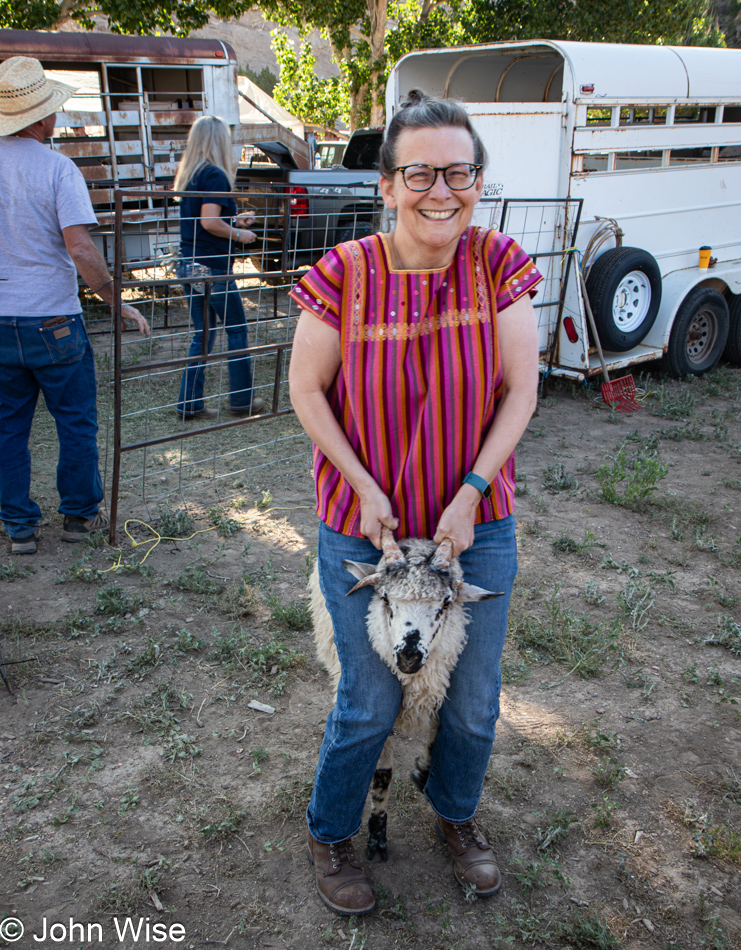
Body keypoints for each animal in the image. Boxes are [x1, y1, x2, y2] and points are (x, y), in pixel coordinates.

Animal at [310, 528, 500, 864]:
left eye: (446, 602)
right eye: (385, 598)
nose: (409, 656)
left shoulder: (439, 685)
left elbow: (438, 736)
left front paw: (425, 772)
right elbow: (382, 775)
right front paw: (377, 837)